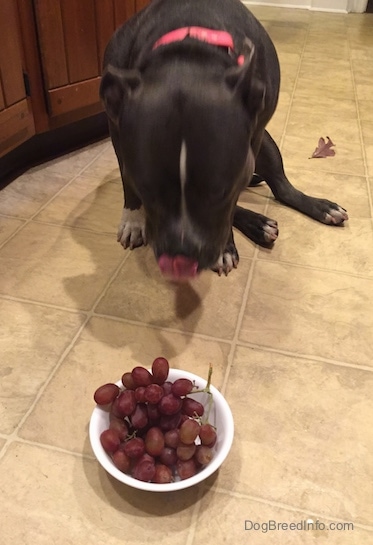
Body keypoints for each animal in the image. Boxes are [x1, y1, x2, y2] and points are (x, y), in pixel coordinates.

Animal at [100, 0, 348, 280]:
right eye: (148, 190)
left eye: (220, 191)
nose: (180, 259)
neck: (188, 50)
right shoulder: (117, 130)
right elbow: (127, 180)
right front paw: (133, 219)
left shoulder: (251, 145)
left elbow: (229, 208)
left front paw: (224, 246)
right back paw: (259, 224)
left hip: (267, 144)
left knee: (282, 188)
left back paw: (320, 208)